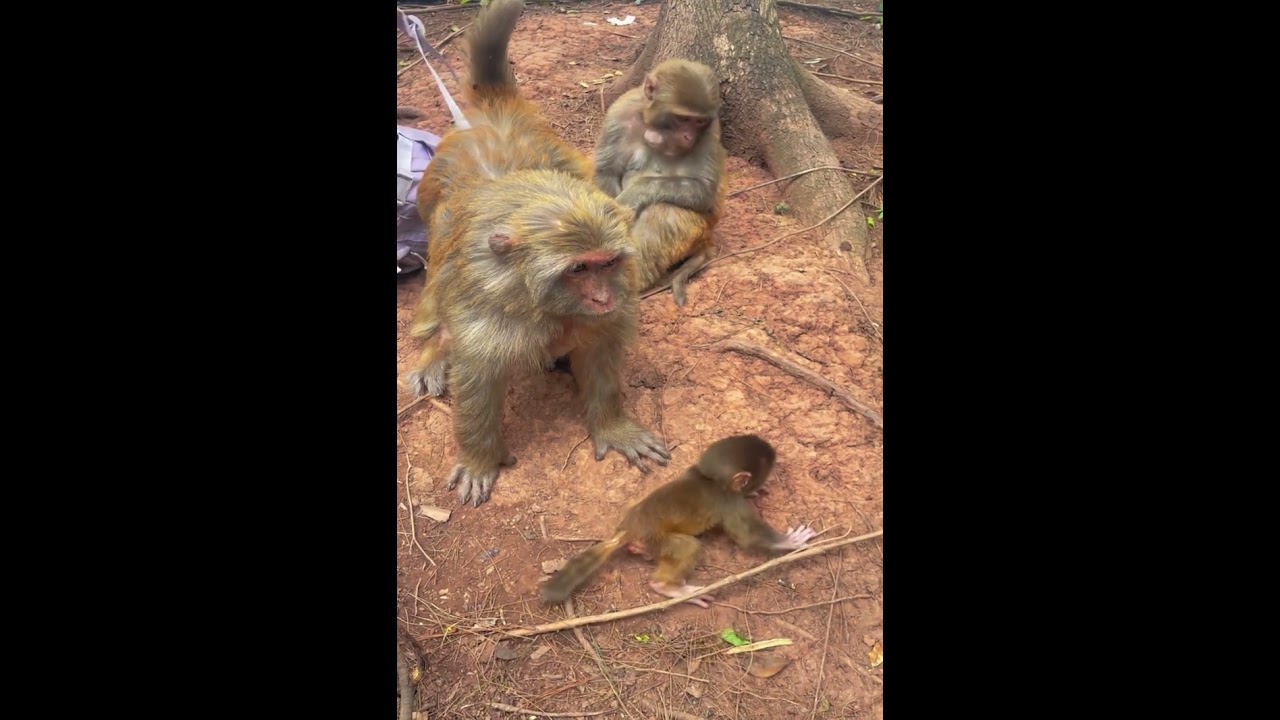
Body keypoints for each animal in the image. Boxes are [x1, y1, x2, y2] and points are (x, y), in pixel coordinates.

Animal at [401, 0, 670, 508]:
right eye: (578, 268)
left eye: (607, 264)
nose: (603, 298)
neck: (544, 303)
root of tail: (491, 118)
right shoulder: (489, 304)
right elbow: (478, 375)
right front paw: (479, 458)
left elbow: (600, 351)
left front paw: (613, 426)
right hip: (429, 205)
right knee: (438, 282)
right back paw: (434, 349)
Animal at [540, 435, 817, 607]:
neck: (709, 478)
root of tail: (628, 529)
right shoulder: (728, 501)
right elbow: (747, 535)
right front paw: (789, 542)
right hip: (655, 541)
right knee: (687, 547)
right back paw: (667, 587)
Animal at [593, 59, 728, 307]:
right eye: (683, 118)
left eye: (699, 121)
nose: (688, 137)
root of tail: (707, 237)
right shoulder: (620, 112)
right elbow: (606, 171)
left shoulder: (712, 129)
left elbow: (704, 190)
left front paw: (632, 197)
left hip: (700, 228)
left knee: (663, 213)